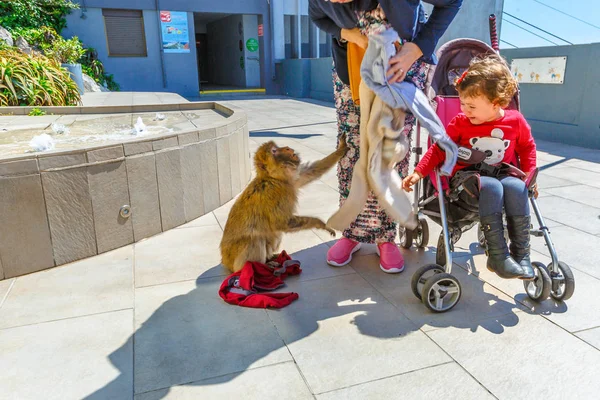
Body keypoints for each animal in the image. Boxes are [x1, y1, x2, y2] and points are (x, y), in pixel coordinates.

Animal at [220, 136, 346, 274]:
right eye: (274, 151)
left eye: (276, 147)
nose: (287, 148)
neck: (273, 178)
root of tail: (225, 262)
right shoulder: (275, 193)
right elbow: (280, 223)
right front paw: (320, 224)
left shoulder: (289, 180)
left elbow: (309, 173)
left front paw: (341, 149)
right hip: (236, 259)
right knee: (254, 239)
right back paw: (256, 266)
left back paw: (269, 258)